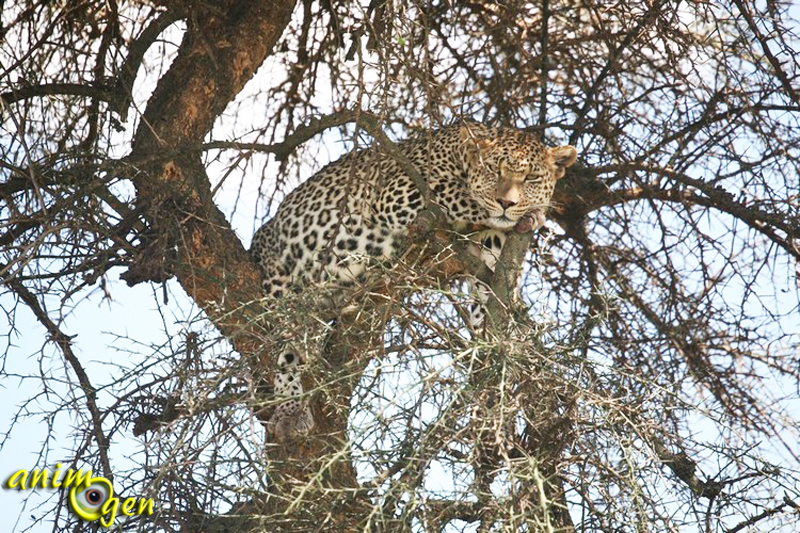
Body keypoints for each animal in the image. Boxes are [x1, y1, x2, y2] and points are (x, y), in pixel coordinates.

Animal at [250, 120, 576, 440]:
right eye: (494, 170)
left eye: (531, 177)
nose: (507, 202)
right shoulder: (400, 192)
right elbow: (468, 198)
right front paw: (532, 212)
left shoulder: (487, 250)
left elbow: (494, 285)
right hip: (281, 289)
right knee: (285, 352)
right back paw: (291, 410)